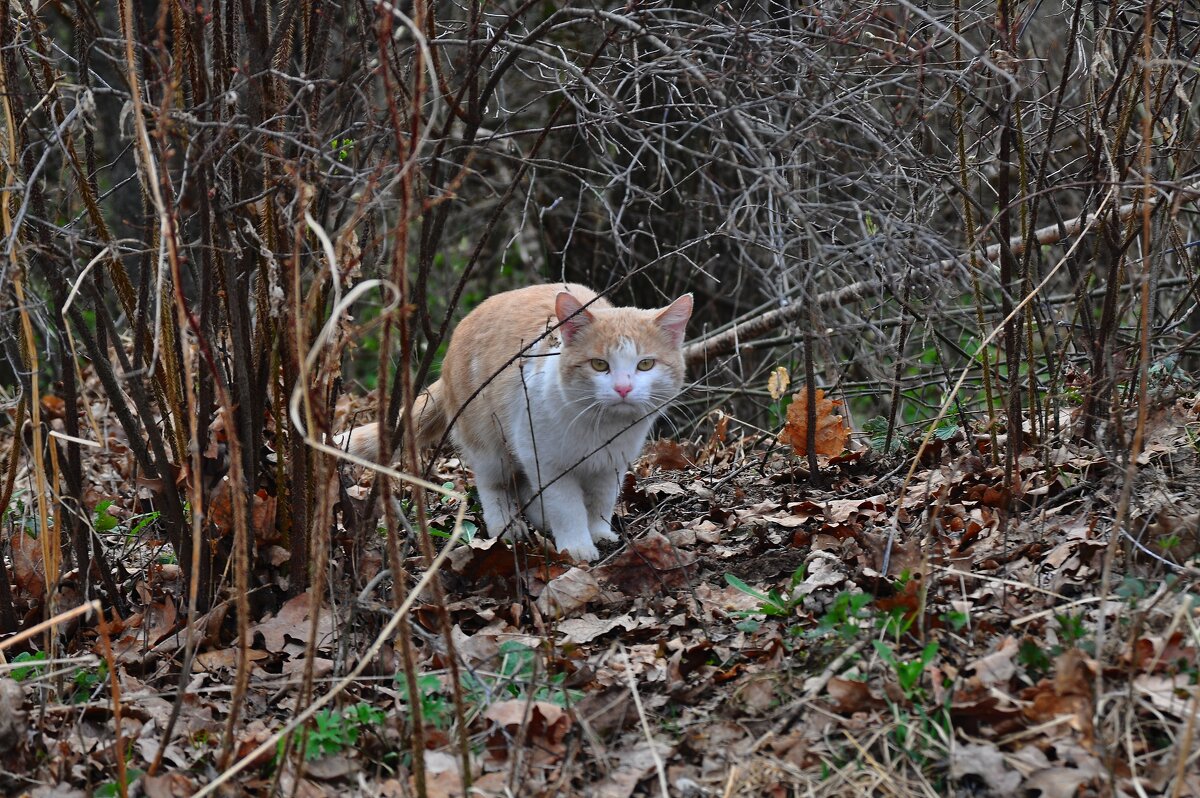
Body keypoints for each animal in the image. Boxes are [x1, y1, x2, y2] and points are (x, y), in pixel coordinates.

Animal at [340, 283, 696, 564]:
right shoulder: (548, 462)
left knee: (525, 486)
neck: (598, 429)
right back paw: (508, 527)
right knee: (494, 486)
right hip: (490, 445)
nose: (623, 388)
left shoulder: (610, 466)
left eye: (645, 364)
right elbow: (567, 507)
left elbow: (600, 502)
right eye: (599, 365)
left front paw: (598, 532)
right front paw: (577, 547)